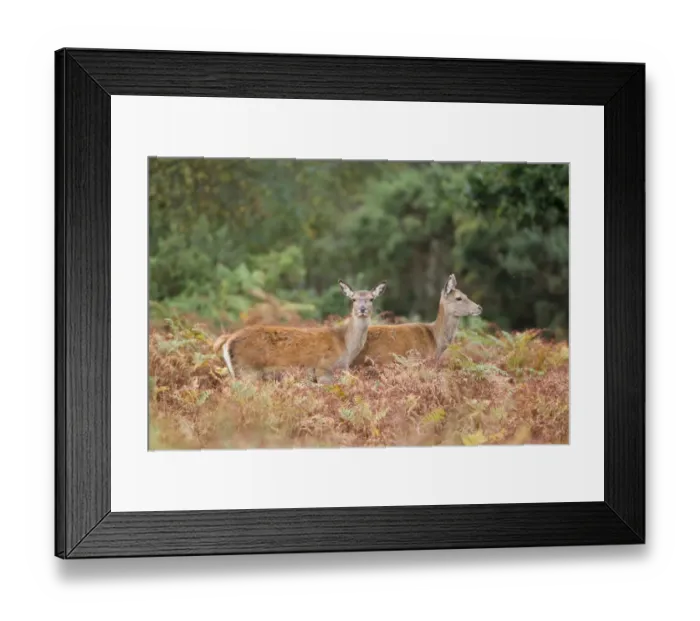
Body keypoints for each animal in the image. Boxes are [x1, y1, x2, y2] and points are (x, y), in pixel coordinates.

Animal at [213, 280, 387, 384]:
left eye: (371, 299)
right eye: (353, 299)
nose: (362, 309)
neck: (346, 347)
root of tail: (228, 340)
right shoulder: (324, 369)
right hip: (248, 369)